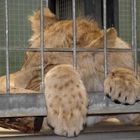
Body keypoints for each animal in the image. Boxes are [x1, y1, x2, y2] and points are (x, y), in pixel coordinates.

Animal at [0, 7, 140, 137]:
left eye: (47, 66)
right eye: (26, 58)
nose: (19, 85)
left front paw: (127, 83)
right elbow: (62, 69)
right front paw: (68, 115)